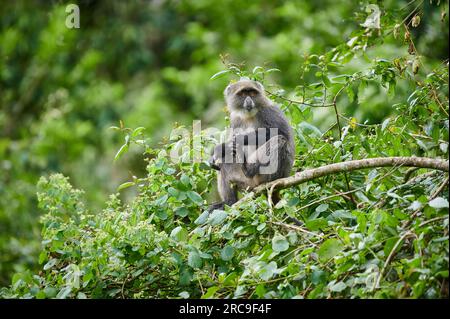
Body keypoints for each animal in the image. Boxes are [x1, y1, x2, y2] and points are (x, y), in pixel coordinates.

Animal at [207, 78, 296, 212]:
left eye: (252, 93)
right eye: (243, 93)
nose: (249, 101)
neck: (248, 116)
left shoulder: (269, 111)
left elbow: (280, 132)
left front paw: (236, 141)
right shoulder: (235, 118)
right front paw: (219, 150)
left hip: (269, 174)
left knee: (279, 140)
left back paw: (248, 170)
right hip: (246, 184)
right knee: (224, 162)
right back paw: (229, 202)